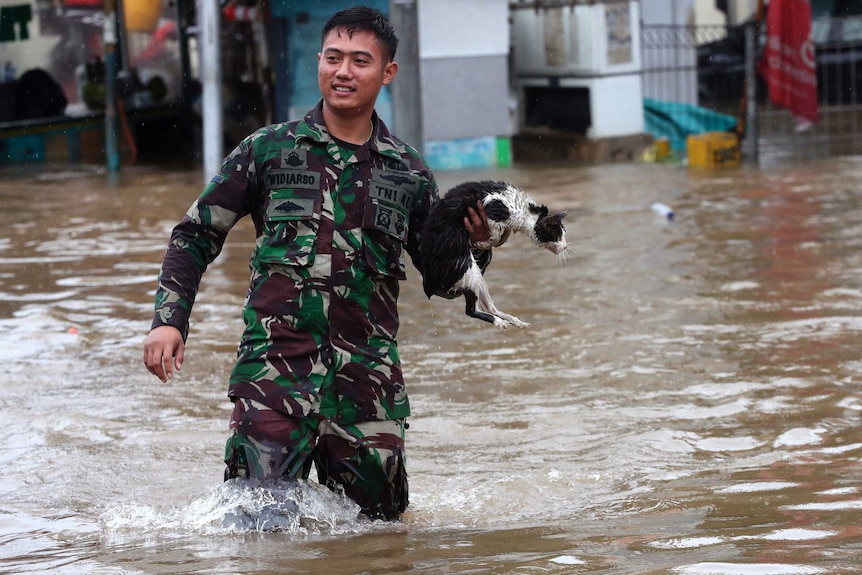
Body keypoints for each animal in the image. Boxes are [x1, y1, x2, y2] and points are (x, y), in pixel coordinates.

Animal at [422, 182, 572, 330]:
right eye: (558, 235)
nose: (565, 246)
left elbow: (504, 233)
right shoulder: (491, 209)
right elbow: (495, 232)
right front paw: (483, 242)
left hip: (477, 276)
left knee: (488, 307)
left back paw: (516, 321)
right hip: (468, 269)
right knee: (471, 310)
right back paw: (501, 322)